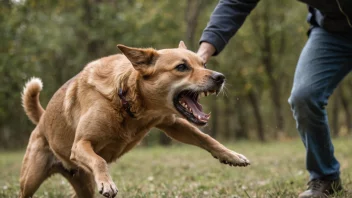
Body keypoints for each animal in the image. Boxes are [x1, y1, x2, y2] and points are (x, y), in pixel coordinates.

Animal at [20, 41, 250, 197]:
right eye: (182, 67)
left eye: (203, 64)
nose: (220, 77)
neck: (128, 100)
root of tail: (42, 120)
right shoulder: (80, 144)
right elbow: (99, 160)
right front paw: (107, 183)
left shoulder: (171, 123)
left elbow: (207, 139)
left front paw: (232, 156)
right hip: (31, 179)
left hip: (84, 185)